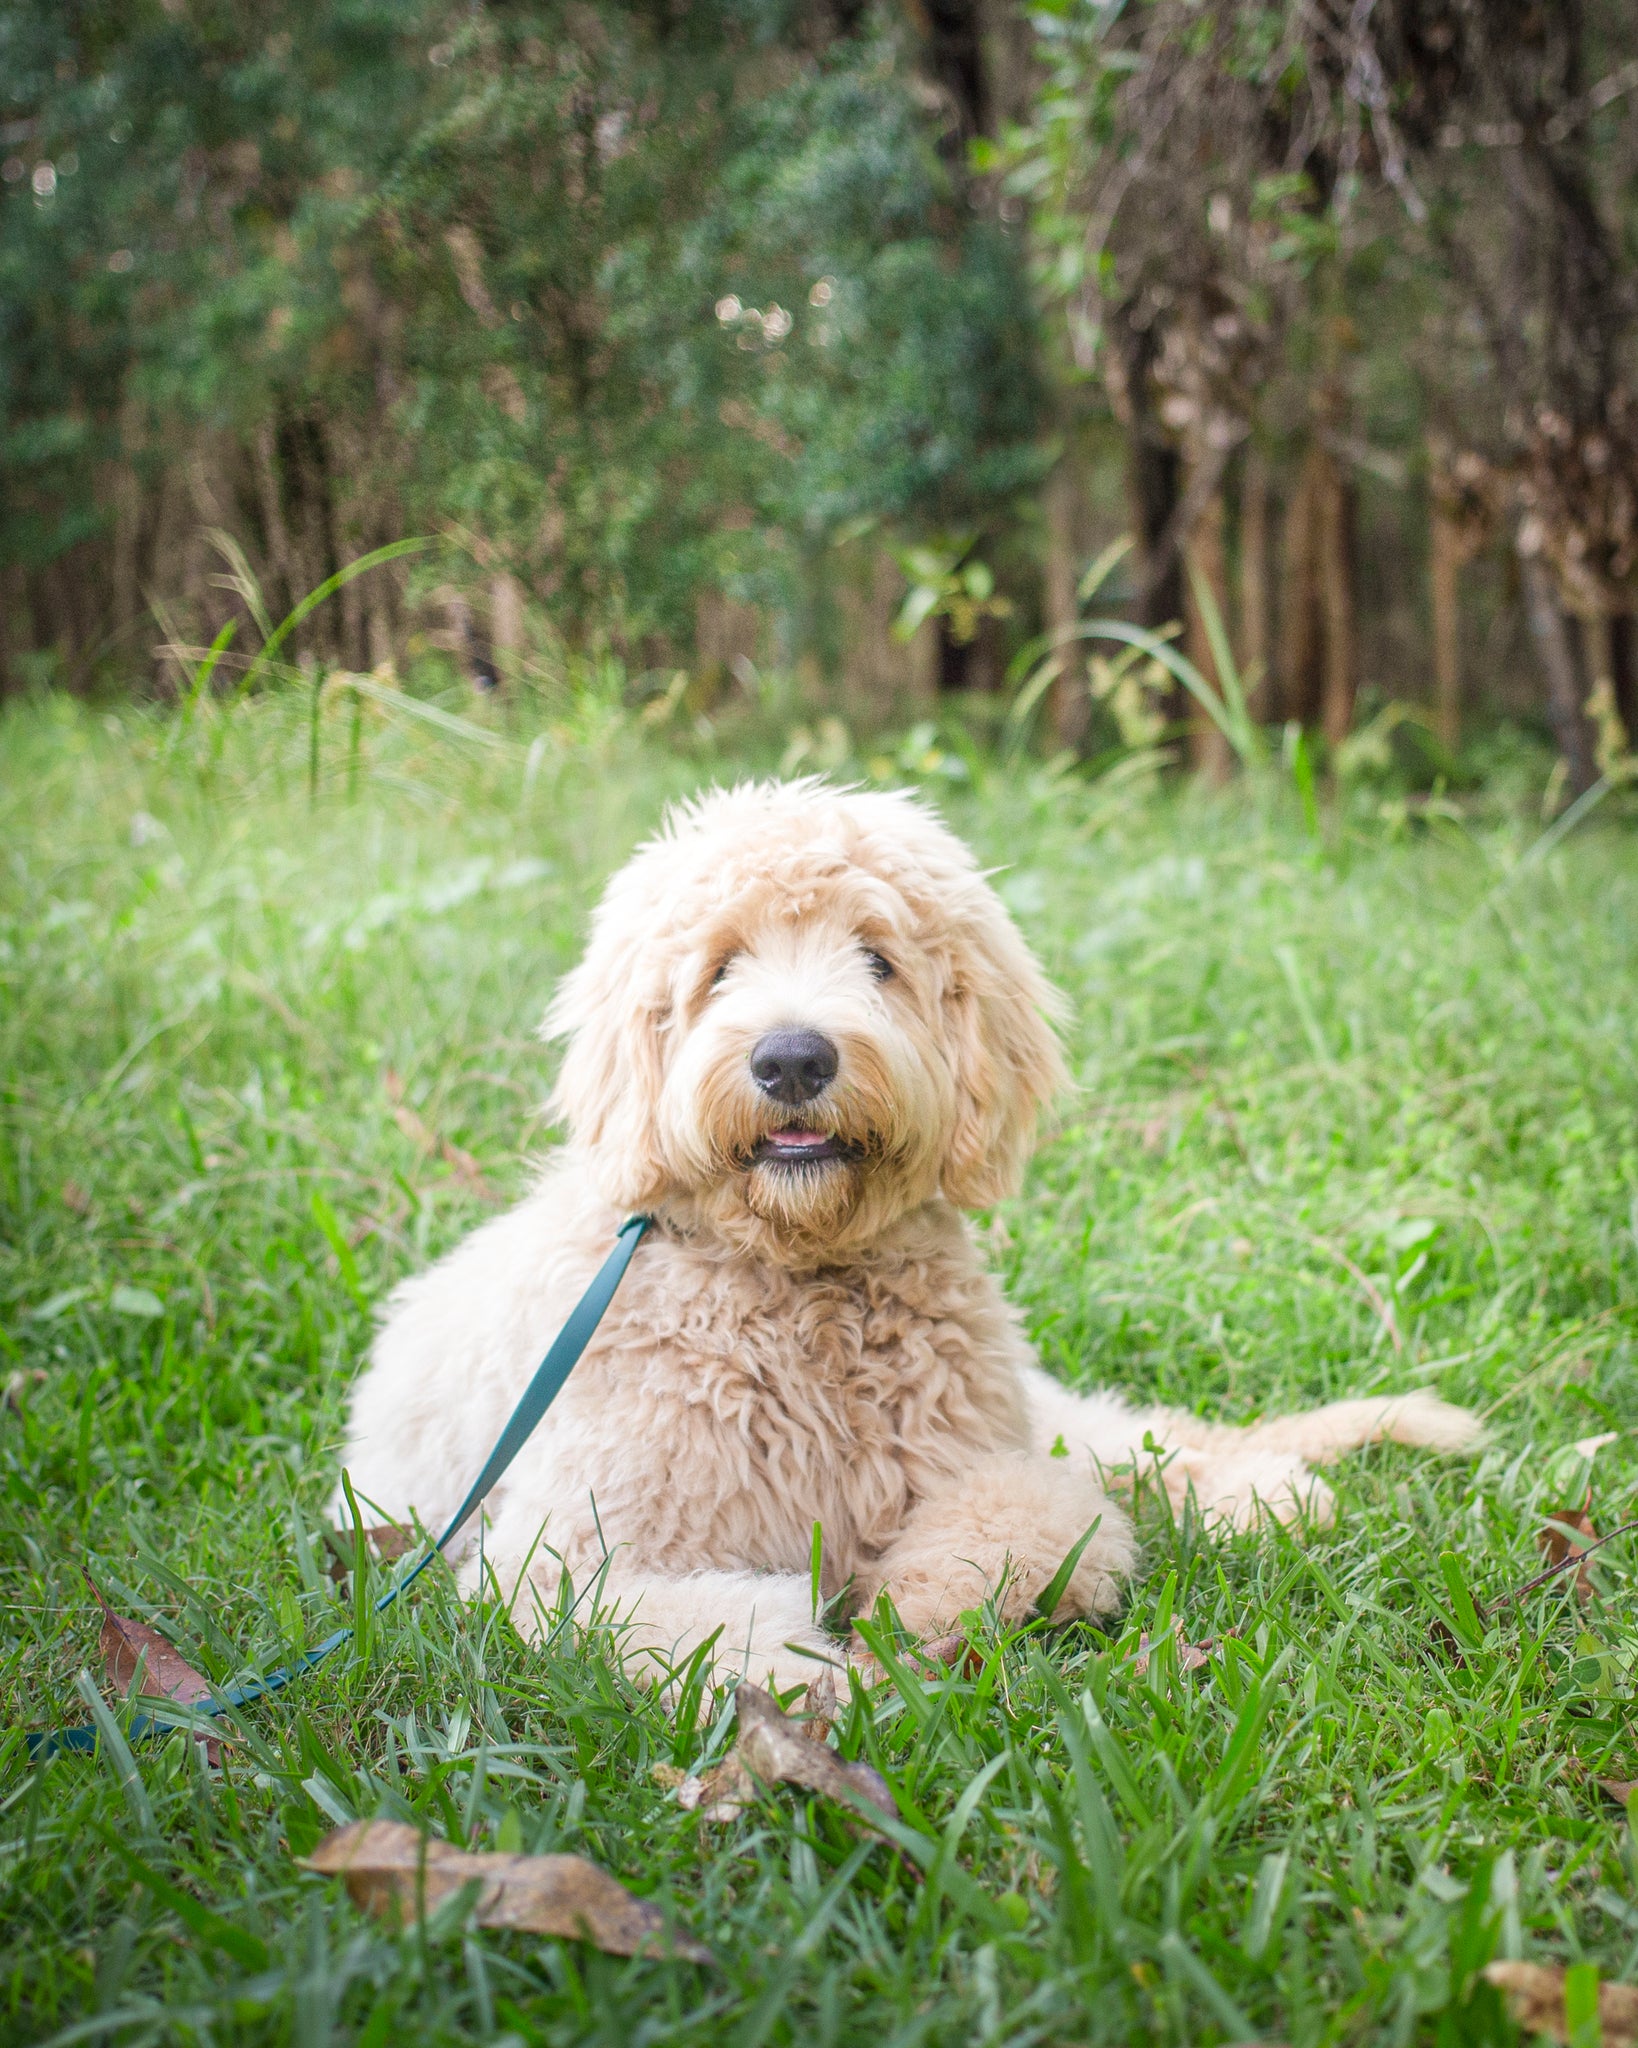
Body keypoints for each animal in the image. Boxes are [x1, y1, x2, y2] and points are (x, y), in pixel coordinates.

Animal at [335, 774, 1482, 1687]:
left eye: (877, 959)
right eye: (721, 966)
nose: (793, 1058)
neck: (800, 1285)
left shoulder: (985, 1459)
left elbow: (1044, 1516)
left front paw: (917, 1606)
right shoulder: (563, 1558)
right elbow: (720, 1625)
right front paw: (826, 1685)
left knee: (1135, 1447)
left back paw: (1268, 1492)